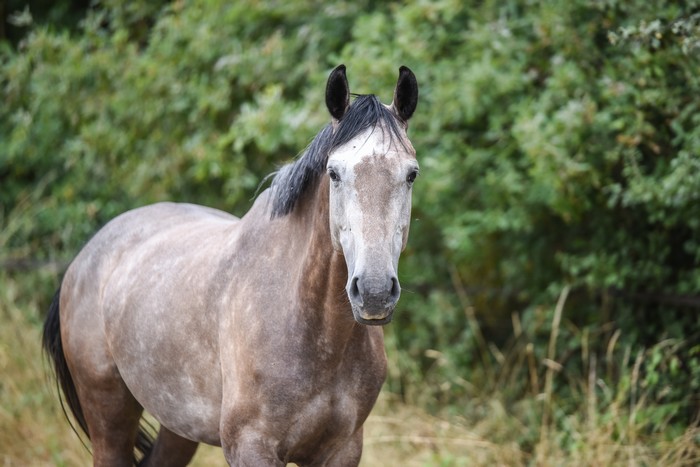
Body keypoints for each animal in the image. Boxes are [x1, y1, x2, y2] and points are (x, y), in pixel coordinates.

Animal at [43, 66, 422, 467]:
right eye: (334, 173)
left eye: (411, 174)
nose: (375, 292)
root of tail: (83, 259)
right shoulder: (250, 446)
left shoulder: (342, 450)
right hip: (109, 417)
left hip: (178, 427)